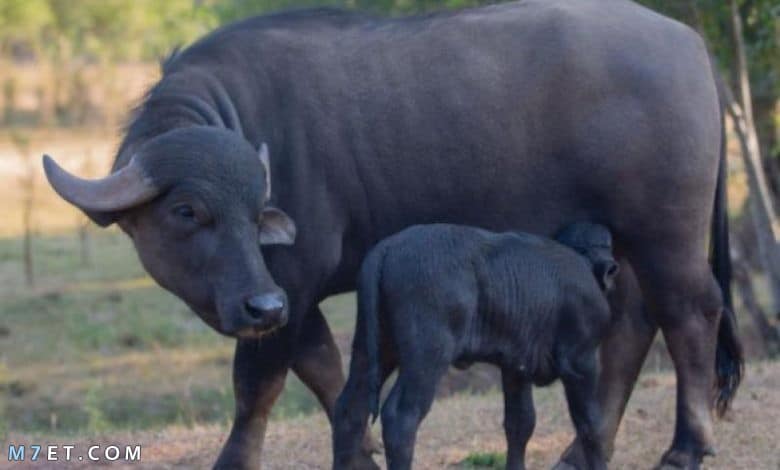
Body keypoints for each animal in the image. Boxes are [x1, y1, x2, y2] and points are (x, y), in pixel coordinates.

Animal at [332, 223, 620, 470]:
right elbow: (591, 425)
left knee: (349, 410)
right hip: (426, 358)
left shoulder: (515, 369)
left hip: (372, 351)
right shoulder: (581, 363)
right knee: (401, 417)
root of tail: (386, 248)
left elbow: (520, 423)